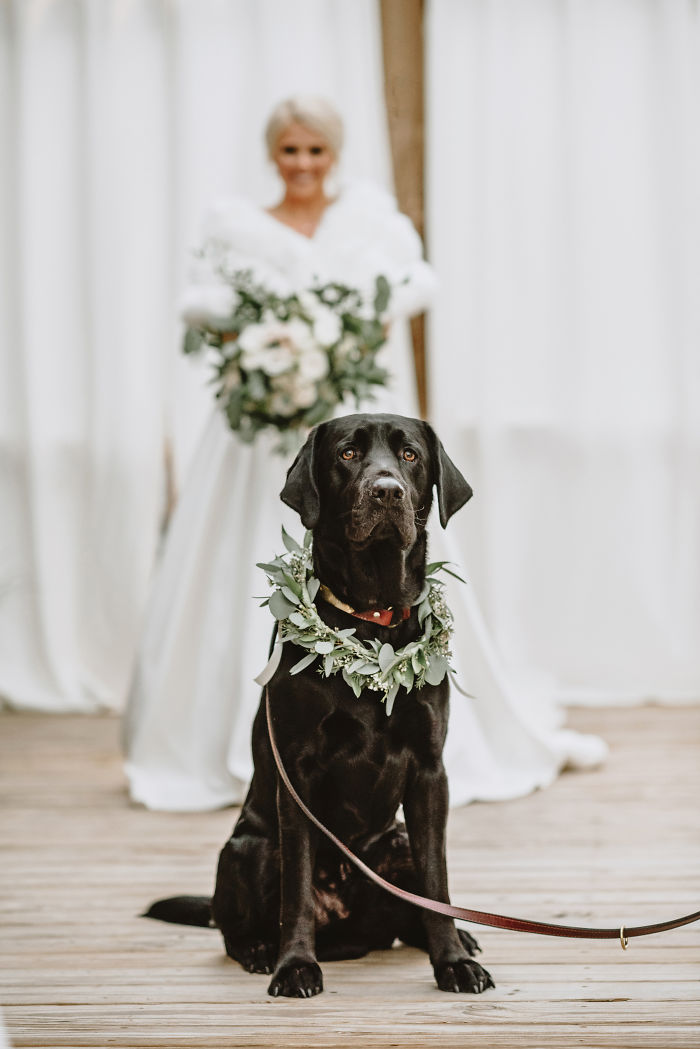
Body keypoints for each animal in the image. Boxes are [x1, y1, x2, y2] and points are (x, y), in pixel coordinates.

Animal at [146, 411, 495, 998]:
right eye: (348, 454)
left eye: (410, 455)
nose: (386, 491)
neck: (371, 620)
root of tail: (348, 931)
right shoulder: (298, 772)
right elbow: (298, 886)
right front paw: (294, 966)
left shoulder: (430, 771)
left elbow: (437, 882)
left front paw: (453, 961)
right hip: (247, 847)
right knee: (236, 924)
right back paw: (261, 951)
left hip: (396, 839)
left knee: (405, 914)